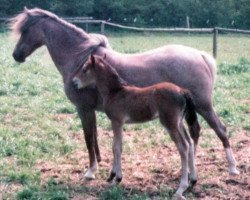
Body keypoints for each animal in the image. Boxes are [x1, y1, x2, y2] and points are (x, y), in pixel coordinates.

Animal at [10, 7, 239, 180]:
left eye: (25, 30)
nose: (16, 55)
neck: (79, 58)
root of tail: (201, 56)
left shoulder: (84, 109)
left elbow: (88, 138)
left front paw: (91, 171)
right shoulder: (93, 111)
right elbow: (95, 138)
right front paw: (102, 166)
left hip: (203, 106)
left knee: (220, 130)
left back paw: (232, 168)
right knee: (195, 134)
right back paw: (190, 169)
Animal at [73, 54, 198, 198]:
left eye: (84, 69)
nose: (74, 82)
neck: (115, 92)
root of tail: (182, 91)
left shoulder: (117, 121)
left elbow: (116, 147)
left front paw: (117, 178)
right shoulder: (117, 123)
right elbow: (116, 145)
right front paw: (112, 175)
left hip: (170, 124)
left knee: (183, 147)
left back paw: (181, 188)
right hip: (179, 123)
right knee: (190, 143)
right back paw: (193, 180)